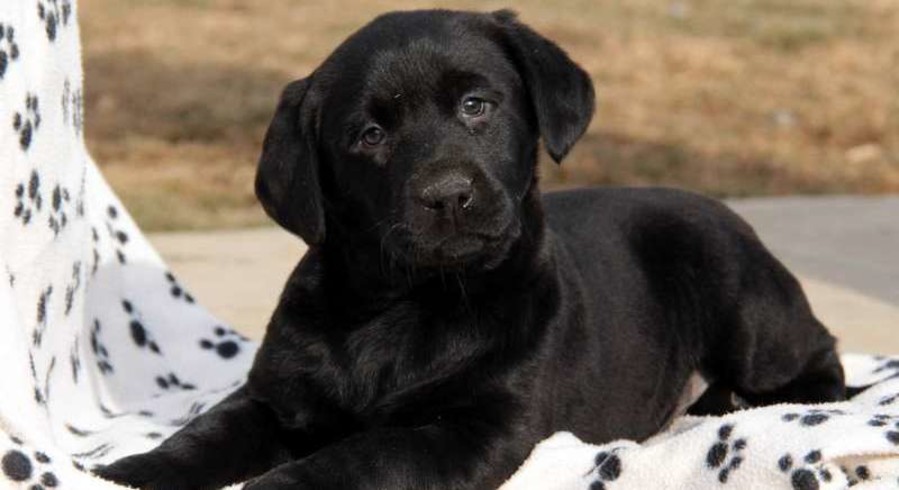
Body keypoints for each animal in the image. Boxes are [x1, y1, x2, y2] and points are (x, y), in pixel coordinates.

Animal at [96, 8, 844, 490]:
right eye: (369, 134)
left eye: (476, 106)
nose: (448, 196)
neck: (403, 302)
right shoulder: (275, 398)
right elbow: (203, 435)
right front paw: (125, 472)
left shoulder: (478, 429)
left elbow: (365, 456)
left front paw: (279, 484)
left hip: (743, 301)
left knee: (820, 354)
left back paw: (740, 404)